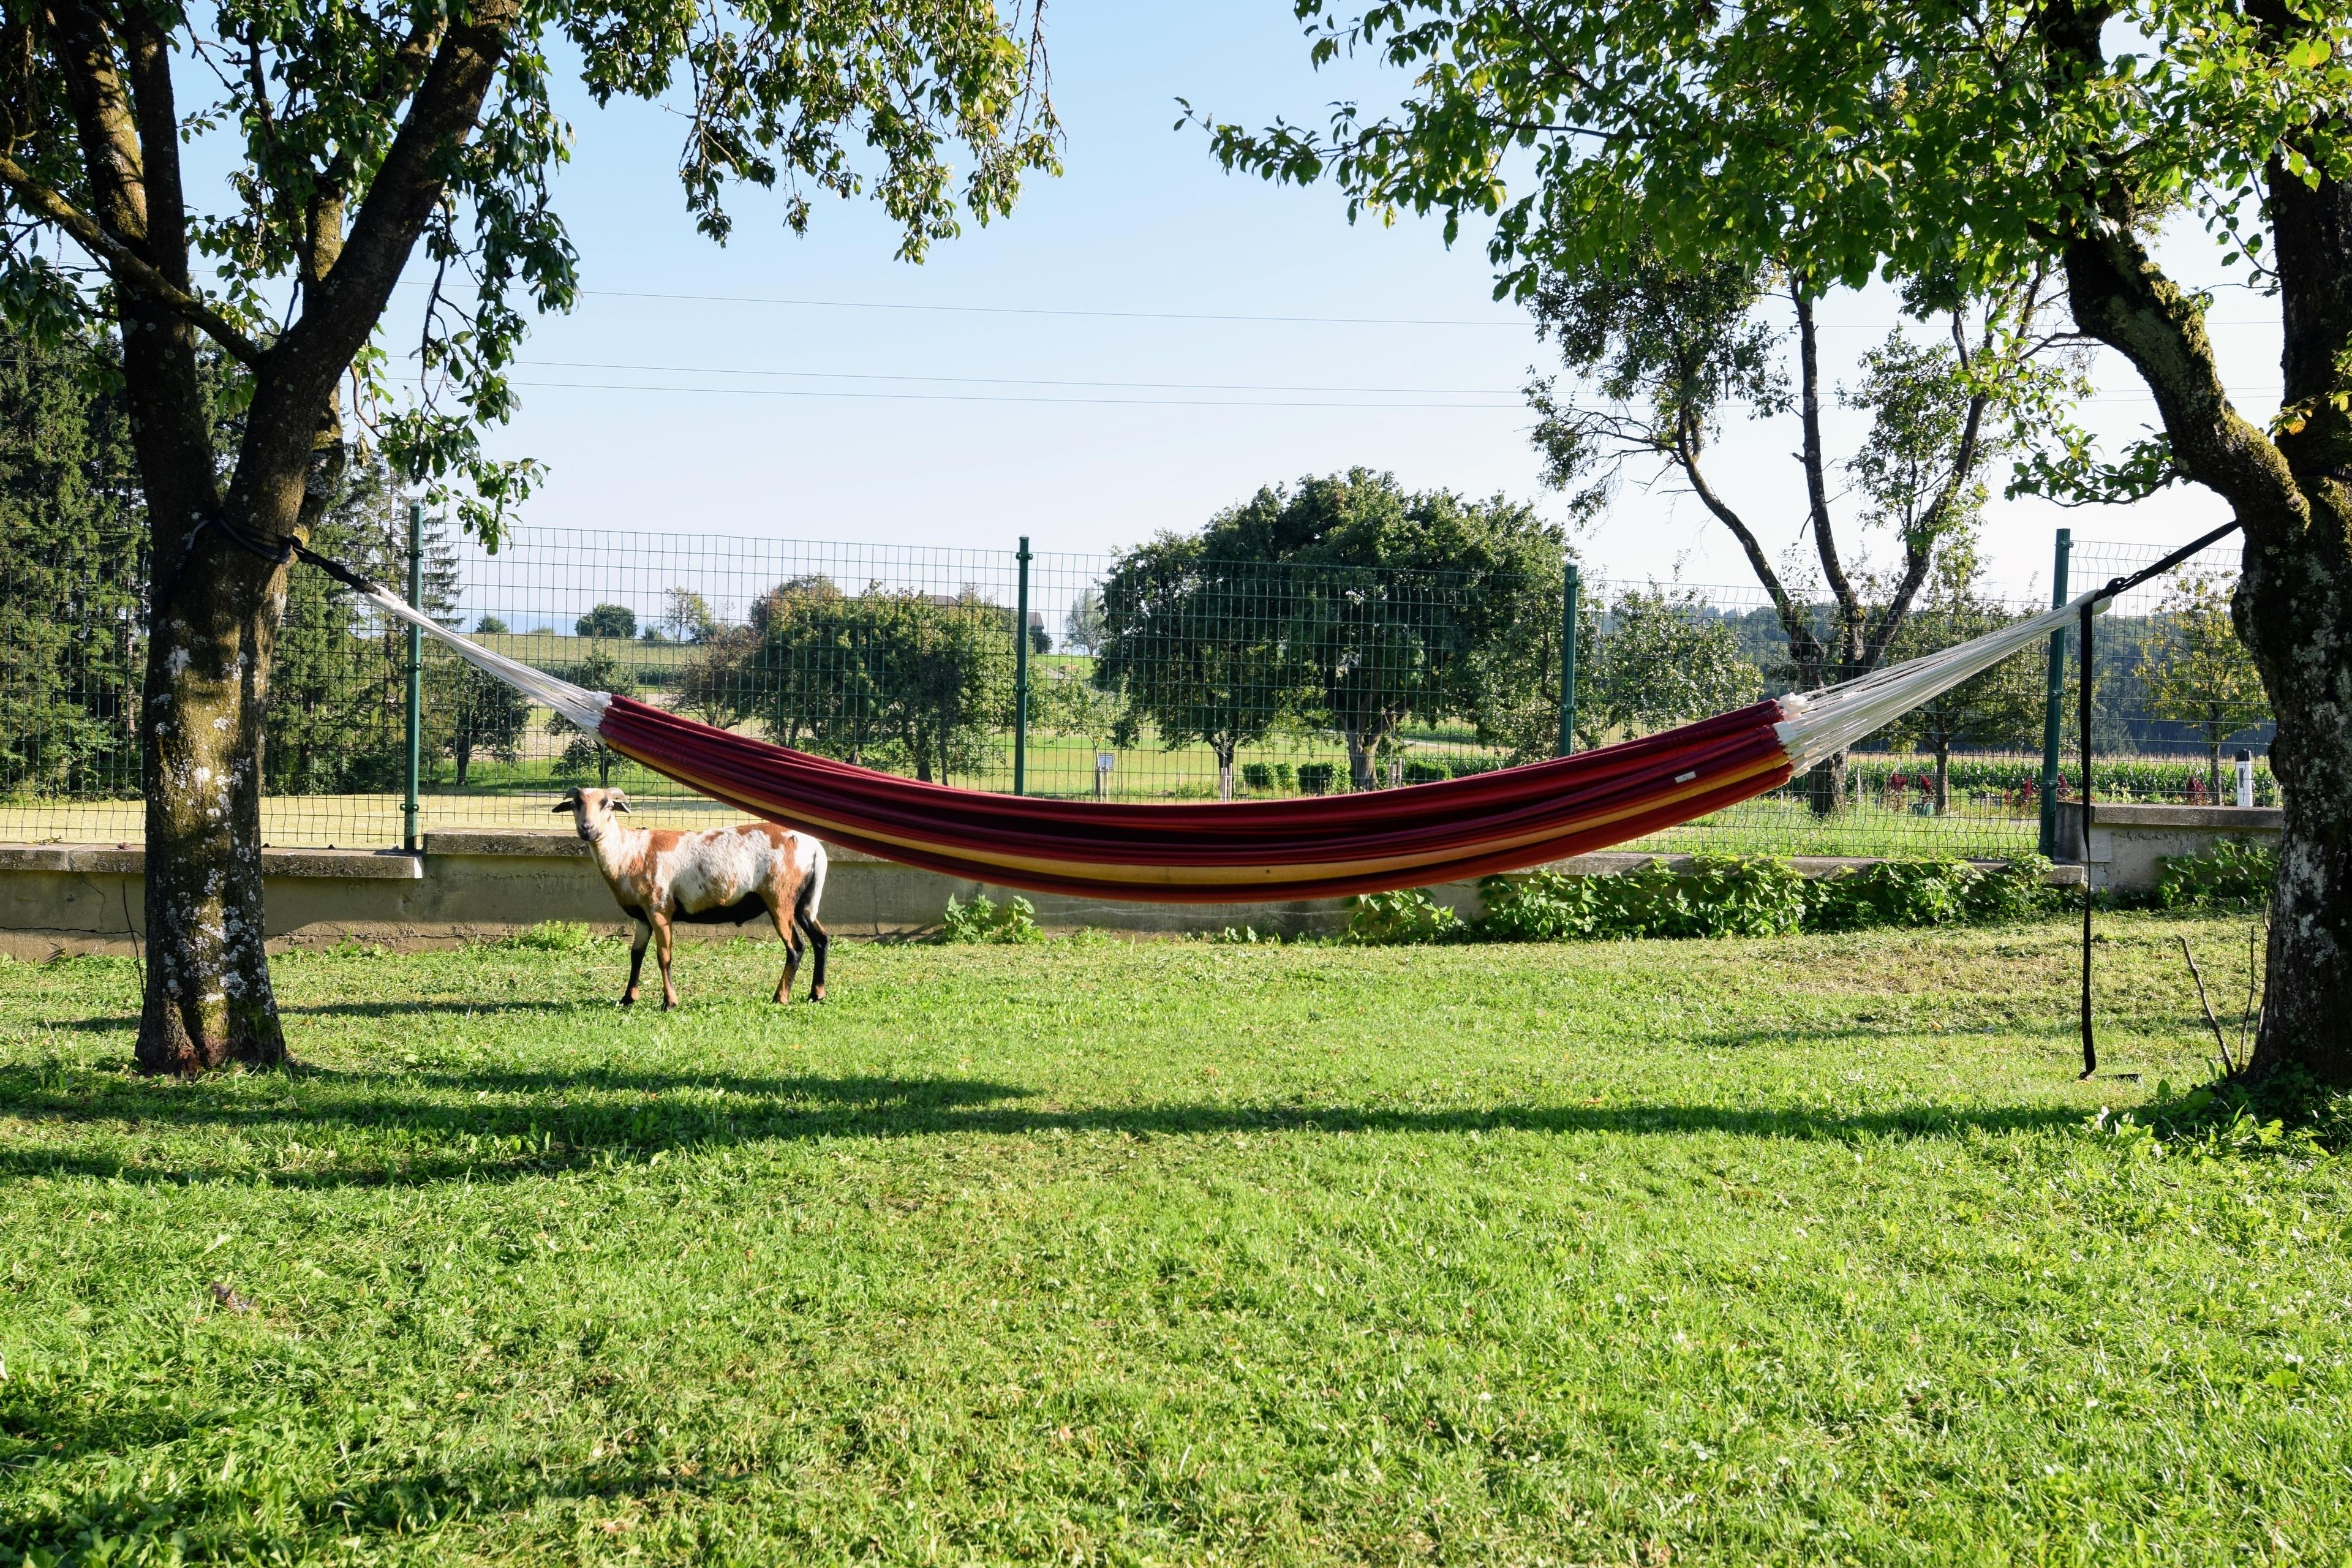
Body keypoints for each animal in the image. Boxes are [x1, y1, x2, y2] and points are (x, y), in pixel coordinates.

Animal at [552, 786, 829, 1009]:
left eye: (608, 805)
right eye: (575, 805)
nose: (587, 829)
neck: (629, 852)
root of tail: (815, 847)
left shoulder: (659, 909)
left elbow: (664, 956)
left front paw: (670, 1003)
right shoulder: (642, 917)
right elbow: (636, 955)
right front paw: (628, 999)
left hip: (779, 899)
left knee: (796, 947)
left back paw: (780, 998)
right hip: (802, 903)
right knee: (820, 940)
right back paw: (816, 995)